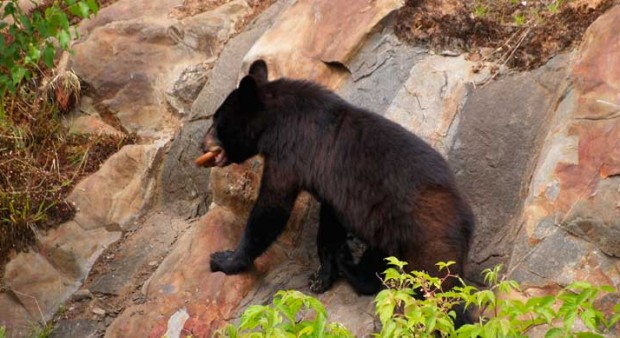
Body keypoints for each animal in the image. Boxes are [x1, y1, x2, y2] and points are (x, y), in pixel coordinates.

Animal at [203, 59, 474, 320]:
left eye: (216, 121)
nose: (202, 144)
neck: (275, 119)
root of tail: (467, 222)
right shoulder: (334, 192)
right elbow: (329, 227)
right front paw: (323, 275)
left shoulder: (291, 152)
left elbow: (271, 209)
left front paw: (225, 259)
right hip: (388, 227)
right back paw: (348, 263)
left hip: (428, 238)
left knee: (442, 292)